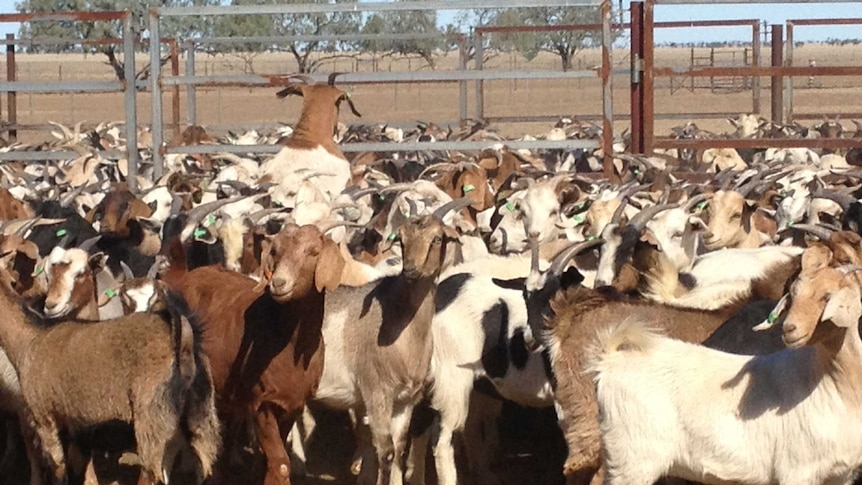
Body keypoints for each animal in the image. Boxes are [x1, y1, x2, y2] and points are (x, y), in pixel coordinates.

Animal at [174, 222, 346, 484]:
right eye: (274, 251)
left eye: (313, 252)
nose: (279, 283)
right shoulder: (261, 402)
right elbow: (280, 463)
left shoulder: (292, 404)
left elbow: (267, 461)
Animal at [592, 242, 862, 484]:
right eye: (793, 295)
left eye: (827, 296)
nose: (789, 329)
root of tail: (611, 360)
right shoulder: (797, 470)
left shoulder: (841, 475)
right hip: (633, 459)